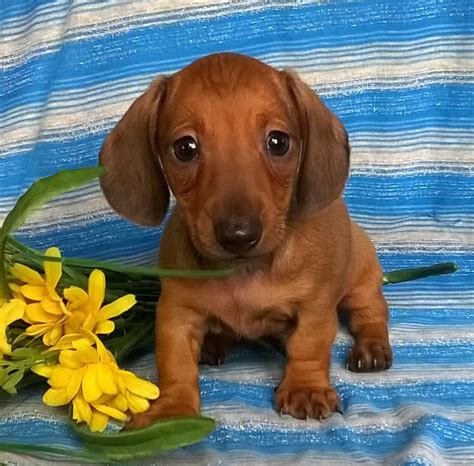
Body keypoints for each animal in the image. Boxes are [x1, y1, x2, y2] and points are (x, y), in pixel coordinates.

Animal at [99, 52, 392, 426]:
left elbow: (308, 346)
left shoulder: (315, 308)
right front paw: (174, 409)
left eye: (278, 142)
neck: (243, 272)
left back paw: (371, 346)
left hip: (361, 278)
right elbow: (175, 363)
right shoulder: (176, 313)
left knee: (371, 312)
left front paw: (305, 388)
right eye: (185, 148)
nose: (239, 235)